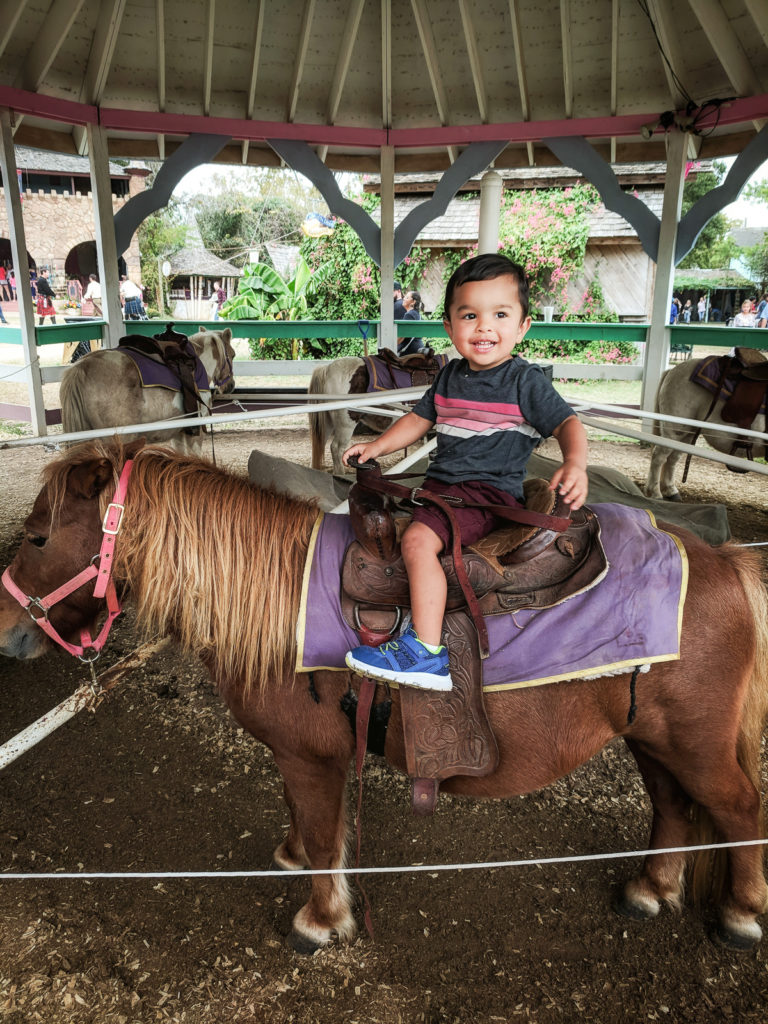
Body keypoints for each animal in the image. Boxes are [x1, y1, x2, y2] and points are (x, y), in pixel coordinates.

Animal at [1, 440, 768, 950]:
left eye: (36, 536)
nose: (8, 631)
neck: (280, 600)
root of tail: (725, 563)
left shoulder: (310, 757)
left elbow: (320, 831)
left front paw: (319, 921)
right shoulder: (303, 757)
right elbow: (305, 823)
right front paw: (294, 857)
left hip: (695, 743)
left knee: (736, 808)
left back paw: (740, 913)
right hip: (652, 738)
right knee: (673, 805)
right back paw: (651, 889)